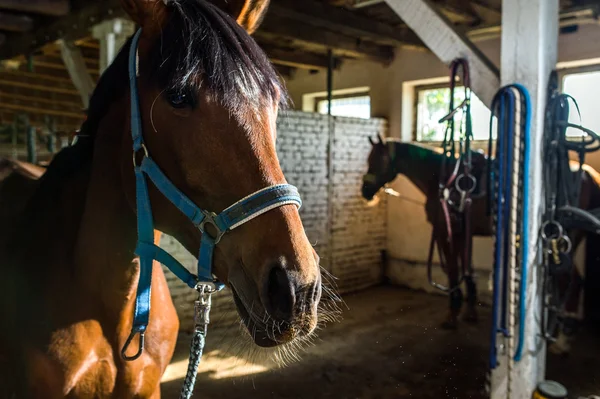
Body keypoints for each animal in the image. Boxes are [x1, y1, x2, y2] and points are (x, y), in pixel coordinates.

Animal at [360, 138, 600, 344]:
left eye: (378, 160)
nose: (365, 191)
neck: (441, 180)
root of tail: (587, 174)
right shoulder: (463, 235)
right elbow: (467, 270)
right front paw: (470, 312)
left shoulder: (446, 233)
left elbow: (454, 271)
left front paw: (452, 315)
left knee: (573, 281)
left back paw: (562, 338)